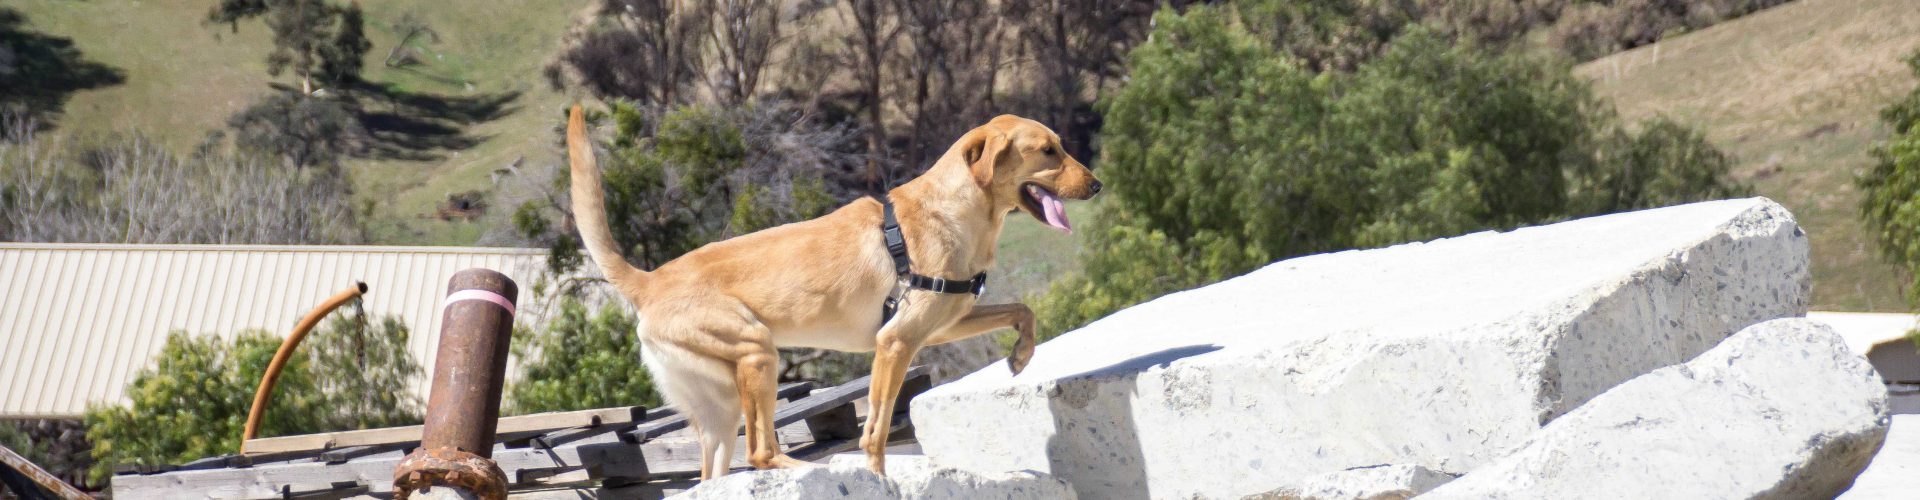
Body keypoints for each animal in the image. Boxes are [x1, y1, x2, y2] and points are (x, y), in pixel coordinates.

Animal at [560, 106, 1105, 476]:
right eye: (1048, 150)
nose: (1098, 185)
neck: (956, 209)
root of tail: (651, 279)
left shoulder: (941, 326)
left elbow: (1023, 310)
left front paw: (1021, 356)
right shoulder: (896, 343)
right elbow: (877, 433)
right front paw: (877, 477)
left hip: (722, 406)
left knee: (718, 471)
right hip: (758, 352)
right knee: (761, 452)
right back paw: (809, 470)